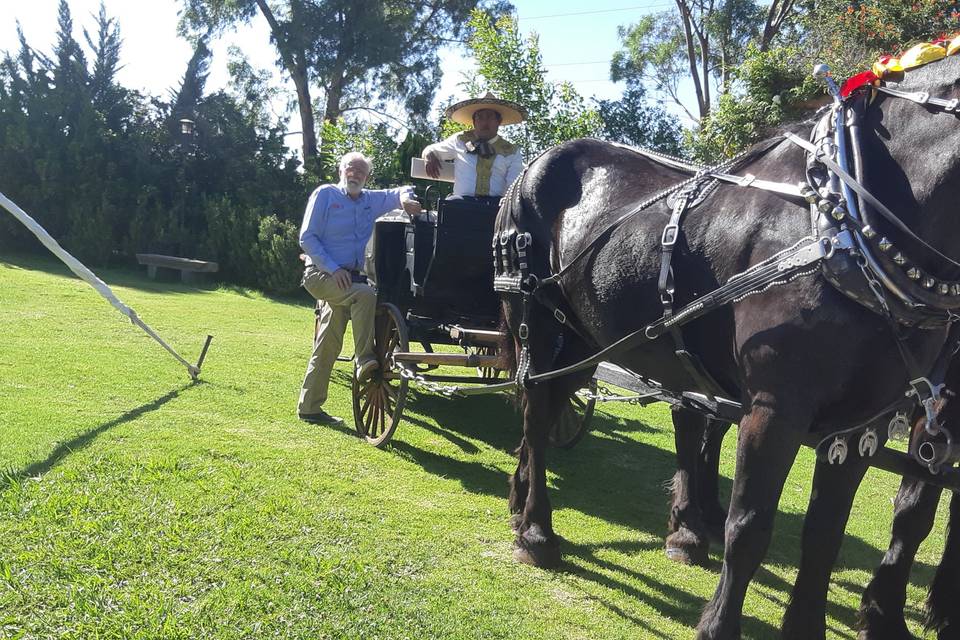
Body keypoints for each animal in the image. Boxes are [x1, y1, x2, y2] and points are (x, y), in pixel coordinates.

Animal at [498, 52, 960, 636]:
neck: (845, 226)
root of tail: (533, 166)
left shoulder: (863, 425)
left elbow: (825, 535)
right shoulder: (775, 409)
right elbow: (750, 527)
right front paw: (718, 622)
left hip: (585, 340)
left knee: (553, 406)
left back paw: (521, 503)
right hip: (537, 323)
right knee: (537, 413)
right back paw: (537, 532)